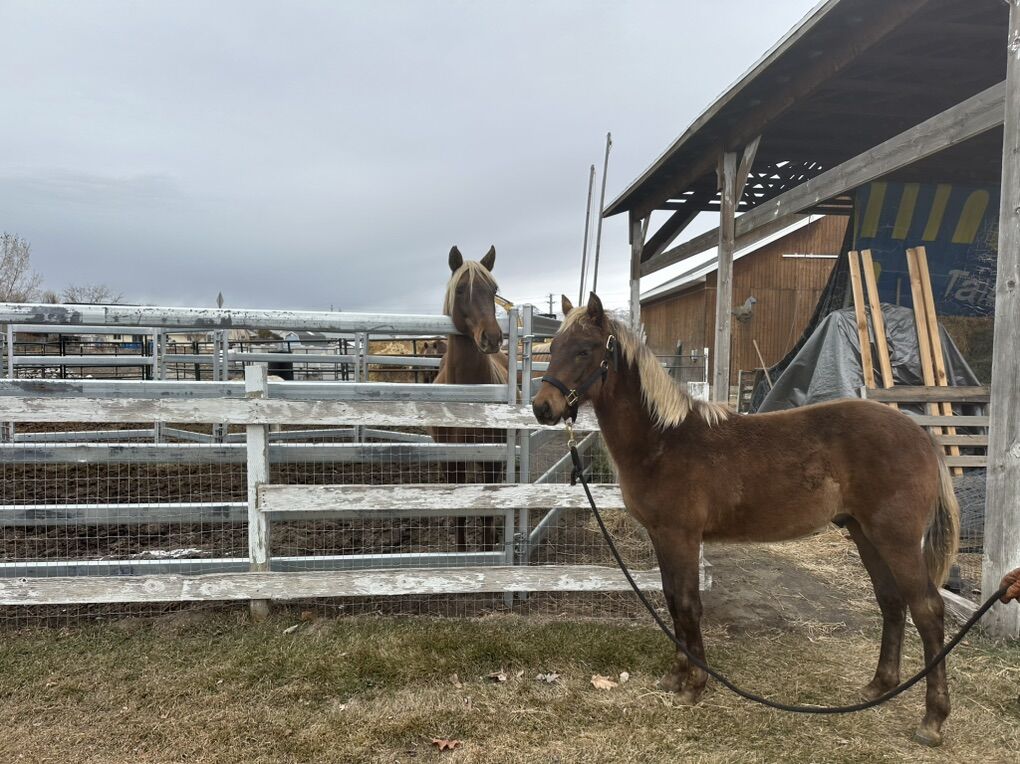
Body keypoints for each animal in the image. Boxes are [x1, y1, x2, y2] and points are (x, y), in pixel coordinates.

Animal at [431, 246, 509, 551]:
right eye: (462, 289)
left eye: (493, 290)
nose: (493, 337)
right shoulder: (452, 461)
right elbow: (461, 514)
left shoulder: (491, 459)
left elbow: (487, 511)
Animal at [533, 292, 960, 747]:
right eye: (553, 347)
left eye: (584, 350)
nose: (542, 407)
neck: (664, 440)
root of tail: (921, 435)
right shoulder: (662, 537)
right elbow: (672, 600)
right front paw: (675, 677)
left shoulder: (681, 537)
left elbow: (688, 604)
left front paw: (694, 685)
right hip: (865, 534)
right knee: (891, 601)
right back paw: (879, 685)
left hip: (897, 539)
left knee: (927, 609)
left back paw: (932, 720)